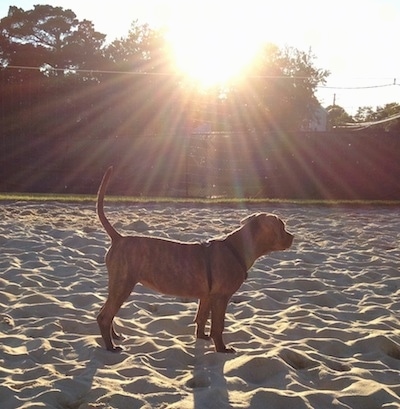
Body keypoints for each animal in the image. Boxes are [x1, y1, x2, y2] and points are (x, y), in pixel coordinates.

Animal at [95, 167, 292, 352]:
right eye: (282, 228)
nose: (293, 236)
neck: (237, 248)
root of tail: (119, 238)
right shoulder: (221, 298)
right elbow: (218, 327)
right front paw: (221, 349)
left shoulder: (206, 297)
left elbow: (201, 318)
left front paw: (202, 337)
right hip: (123, 285)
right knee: (105, 316)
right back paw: (110, 347)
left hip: (118, 287)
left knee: (107, 312)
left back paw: (114, 336)